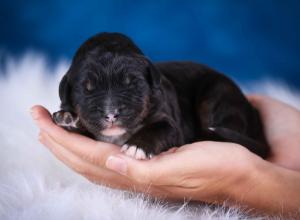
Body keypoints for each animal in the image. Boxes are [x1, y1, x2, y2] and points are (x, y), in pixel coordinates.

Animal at [52, 32, 270, 159]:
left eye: (132, 84)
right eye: (87, 89)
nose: (111, 114)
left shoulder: (170, 122)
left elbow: (160, 128)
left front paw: (137, 146)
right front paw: (67, 118)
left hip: (217, 95)